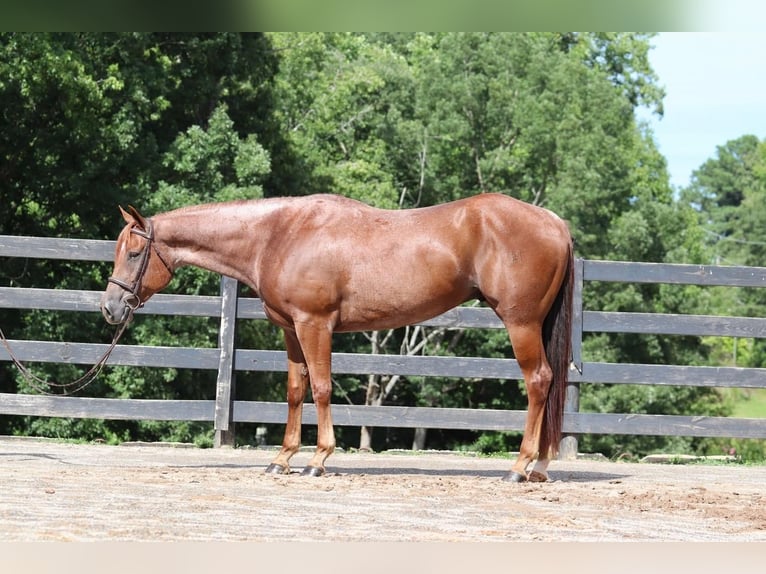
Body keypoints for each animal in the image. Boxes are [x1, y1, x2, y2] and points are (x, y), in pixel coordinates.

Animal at [99, 194, 572, 482]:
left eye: (135, 253)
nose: (110, 308)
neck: (278, 235)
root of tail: (554, 222)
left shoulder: (315, 325)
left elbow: (323, 388)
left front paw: (319, 458)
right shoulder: (291, 329)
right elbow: (296, 390)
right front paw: (282, 458)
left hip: (521, 323)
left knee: (538, 382)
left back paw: (521, 466)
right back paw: (540, 466)